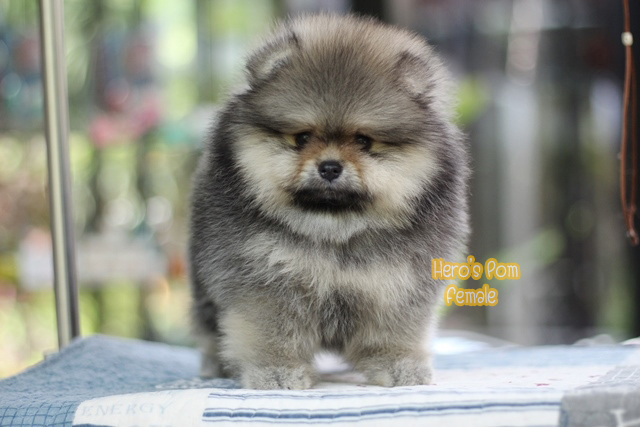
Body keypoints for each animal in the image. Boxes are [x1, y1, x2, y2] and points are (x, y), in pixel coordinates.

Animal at [188, 13, 470, 389]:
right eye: (302, 137)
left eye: (363, 141)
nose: (330, 167)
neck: (335, 228)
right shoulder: (266, 282)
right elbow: (271, 332)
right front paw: (276, 371)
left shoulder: (398, 284)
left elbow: (394, 332)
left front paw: (398, 365)